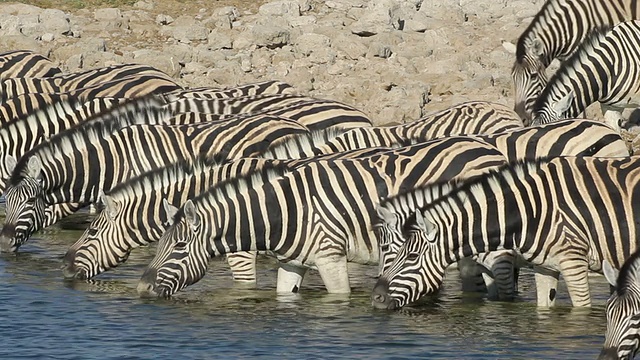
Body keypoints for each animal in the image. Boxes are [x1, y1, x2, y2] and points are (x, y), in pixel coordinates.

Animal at [135, 136, 510, 296]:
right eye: (159, 245)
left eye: (179, 247)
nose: (141, 289)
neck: (283, 210)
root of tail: (487, 147)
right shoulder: (292, 262)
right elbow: (285, 296)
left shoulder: (331, 258)